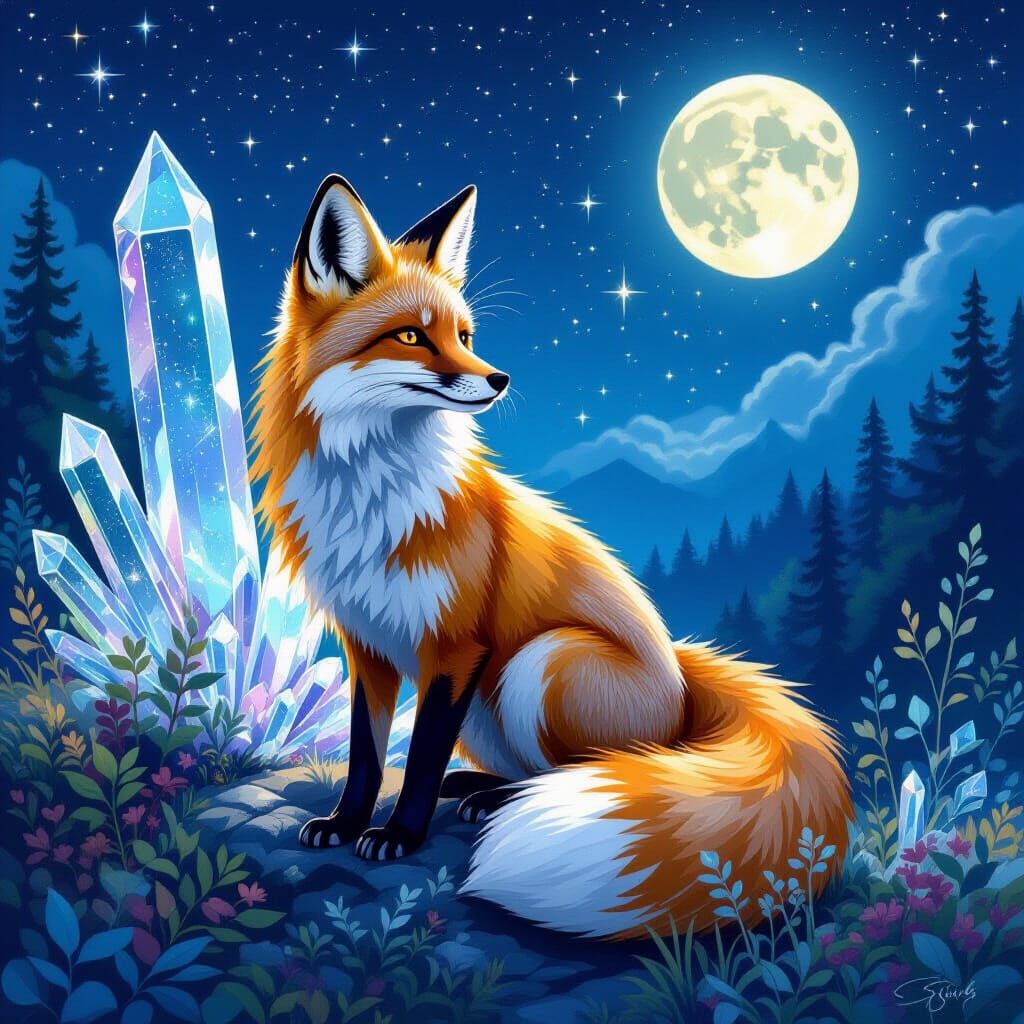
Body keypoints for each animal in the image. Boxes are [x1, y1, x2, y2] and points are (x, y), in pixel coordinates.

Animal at [250, 174, 852, 940]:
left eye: (465, 336)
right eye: (412, 335)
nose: (500, 378)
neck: (373, 493)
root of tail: (682, 684)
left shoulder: (457, 647)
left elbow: (418, 758)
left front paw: (400, 835)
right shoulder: (370, 644)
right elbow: (365, 754)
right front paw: (347, 821)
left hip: (543, 662)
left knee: (589, 771)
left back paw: (498, 800)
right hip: (496, 701)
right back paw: (479, 787)